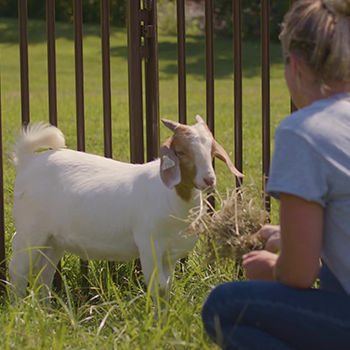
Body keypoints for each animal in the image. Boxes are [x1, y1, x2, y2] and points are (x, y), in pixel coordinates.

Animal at [8, 115, 243, 306]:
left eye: (212, 150)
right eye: (181, 152)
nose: (209, 180)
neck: (170, 197)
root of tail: (27, 161)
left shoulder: (171, 253)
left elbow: (167, 287)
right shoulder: (149, 245)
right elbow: (157, 287)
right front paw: (157, 324)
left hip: (53, 239)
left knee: (43, 274)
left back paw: (46, 312)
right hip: (31, 230)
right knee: (19, 269)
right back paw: (20, 313)